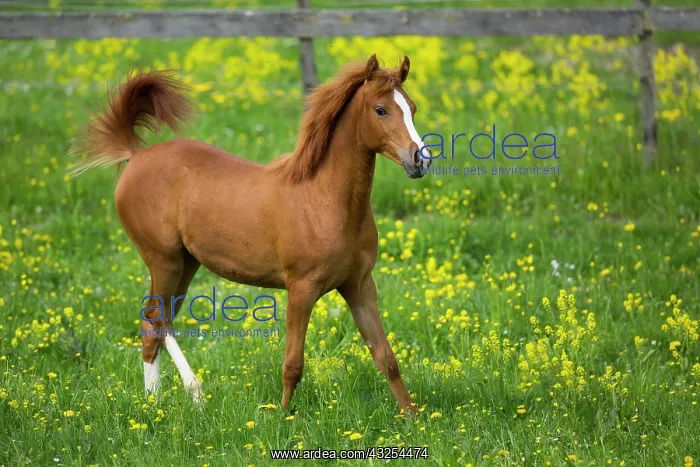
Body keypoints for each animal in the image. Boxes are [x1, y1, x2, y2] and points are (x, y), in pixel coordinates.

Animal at [72, 54, 432, 416]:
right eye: (380, 109)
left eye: (412, 108)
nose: (420, 160)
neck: (323, 199)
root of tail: (136, 155)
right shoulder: (301, 289)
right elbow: (293, 364)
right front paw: (283, 416)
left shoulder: (359, 286)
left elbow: (386, 357)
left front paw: (413, 418)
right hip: (163, 260)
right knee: (155, 320)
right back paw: (177, 398)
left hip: (186, 263)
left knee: (159, 325)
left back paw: (167, 402)